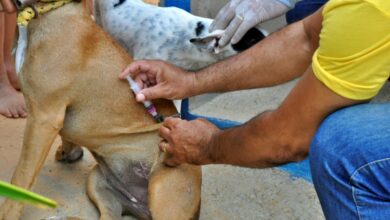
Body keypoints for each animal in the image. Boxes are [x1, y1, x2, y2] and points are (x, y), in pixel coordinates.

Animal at [0, 0, 201, 219]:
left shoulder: (43, 118)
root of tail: (142, 207)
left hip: (162, 190)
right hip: (97, 182)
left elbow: (21, 177)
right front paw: (69, 151)